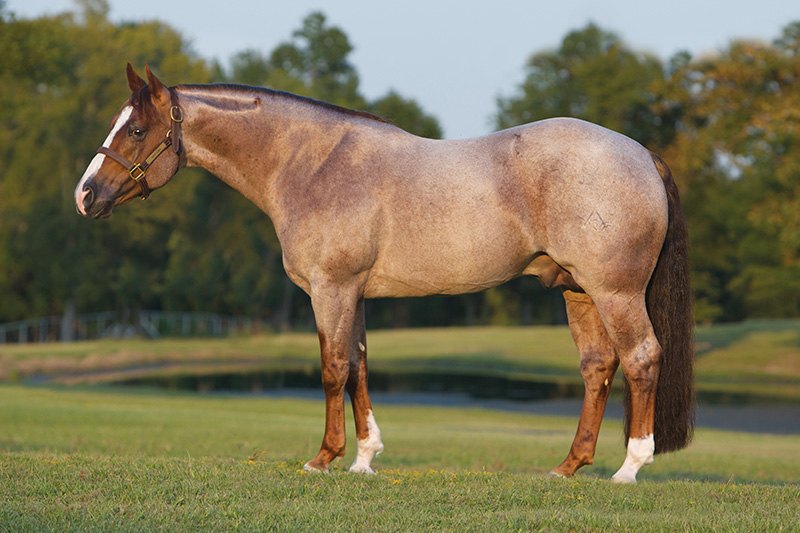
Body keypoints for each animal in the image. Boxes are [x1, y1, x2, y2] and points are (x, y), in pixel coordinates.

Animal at [75, 64, 694, 483]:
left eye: (136, 130)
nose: (86, 196)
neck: (313, 165)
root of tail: (640, 153)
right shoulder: (354, 293)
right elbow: (359, 368)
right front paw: (364, 459)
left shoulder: (331, 290)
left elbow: (332, 369)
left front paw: (323, 458)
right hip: (578, 292)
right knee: (598, 367)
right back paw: (568, 466)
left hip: (615, 292)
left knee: (641, 359)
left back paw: (630, 467)